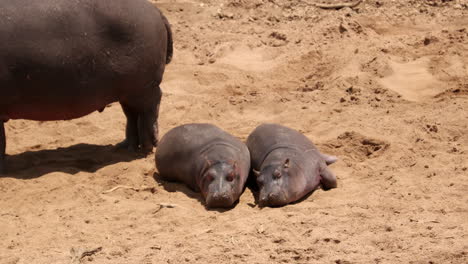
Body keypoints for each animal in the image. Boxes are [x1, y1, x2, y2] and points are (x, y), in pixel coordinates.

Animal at [0, 0, 172, 173]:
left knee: (148, 112)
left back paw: (145, 149)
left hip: (143, 89)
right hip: (128, 92)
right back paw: (125, 147)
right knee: (132, 115)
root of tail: (155, 10)